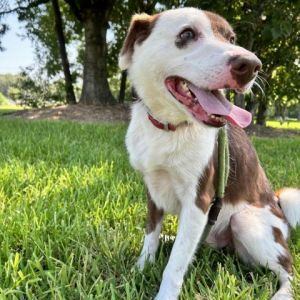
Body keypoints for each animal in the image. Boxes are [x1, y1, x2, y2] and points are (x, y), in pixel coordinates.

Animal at [119, 7, 300, 300]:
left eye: (232, 38)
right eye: (187, 34)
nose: (251, 65)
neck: (171, 127)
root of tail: (279, 207)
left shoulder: (199, 201)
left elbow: (175, 266)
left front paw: (164, 293)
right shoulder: (152, 191)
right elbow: (150, 236)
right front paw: (140, 268)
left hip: (245, 222)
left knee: (289, 270)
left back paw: (282, 294)